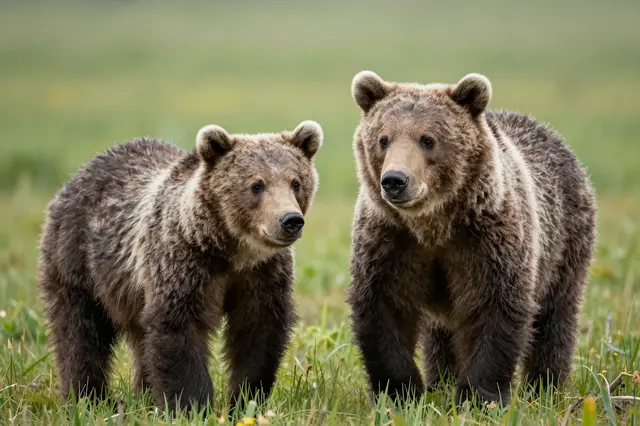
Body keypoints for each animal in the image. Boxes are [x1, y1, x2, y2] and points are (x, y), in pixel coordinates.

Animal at [36, 120, 323, 414]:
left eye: (296, 182)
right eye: (257, 184)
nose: (290, 220)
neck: (231, 250)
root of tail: (83, 170)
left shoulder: (262, 274)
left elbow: (258, 332)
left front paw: (245, 400)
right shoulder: (184, 264)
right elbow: (178, 327)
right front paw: (193, 405)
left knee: (139, 339)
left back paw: (144, 396)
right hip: (79, 259)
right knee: (79, 330)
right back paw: (87, 398)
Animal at [346, 70, 596, 408]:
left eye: (428, 139)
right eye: (383, 139)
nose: (395, 181)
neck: (434, 225)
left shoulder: (488, 240)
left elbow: (494, 308)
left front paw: (479, 398)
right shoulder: (391, 241)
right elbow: (384, 307)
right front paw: (399, 393)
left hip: (565, 242)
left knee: (555, 317)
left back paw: (545, 389)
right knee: (440, 334)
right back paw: (440, 381)